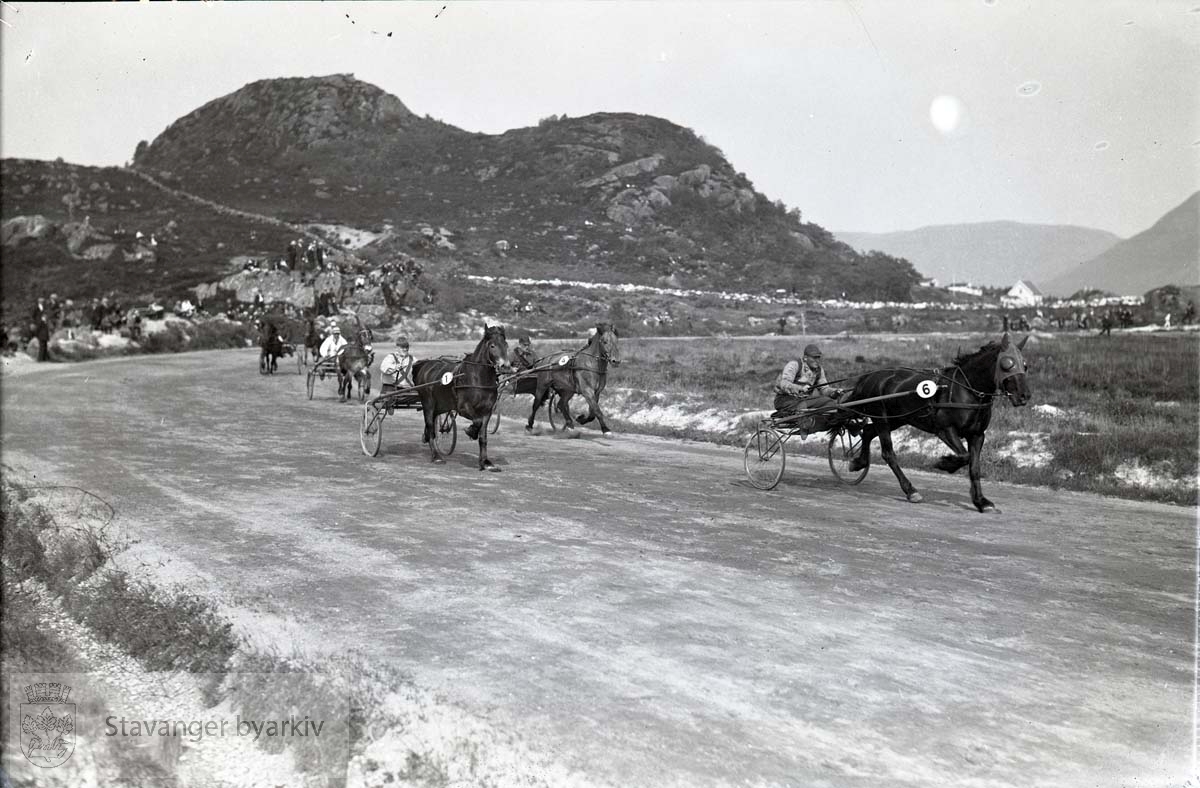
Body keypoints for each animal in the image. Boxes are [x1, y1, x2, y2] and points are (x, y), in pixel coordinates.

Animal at [412, 323, 511, 470]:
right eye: (492, 345)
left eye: (506, 345)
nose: (506, 366)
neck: (477, 378)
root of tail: (425, 365)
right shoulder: (464, 408)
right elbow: (477, 422)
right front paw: (471, 431)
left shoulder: (487, 411)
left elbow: (483, 436)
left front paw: (485, 462)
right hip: (428, 403)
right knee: (430, 426)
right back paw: (436, 456)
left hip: (440, 405)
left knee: (432, 426)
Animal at [844, 331, 1032, 510]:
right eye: (1007, 364)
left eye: (1025, 365)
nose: (1024, 395)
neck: (966, 389)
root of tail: (869, 377)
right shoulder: (945, 429)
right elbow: (965, 456)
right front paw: (944, 463)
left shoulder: (977, 434)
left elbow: (974, 466)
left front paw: (981, 501)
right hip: (882, 417)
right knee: (888, 453)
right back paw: (911, 490)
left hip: (897, 419)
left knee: (868, 431)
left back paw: (858, 462)